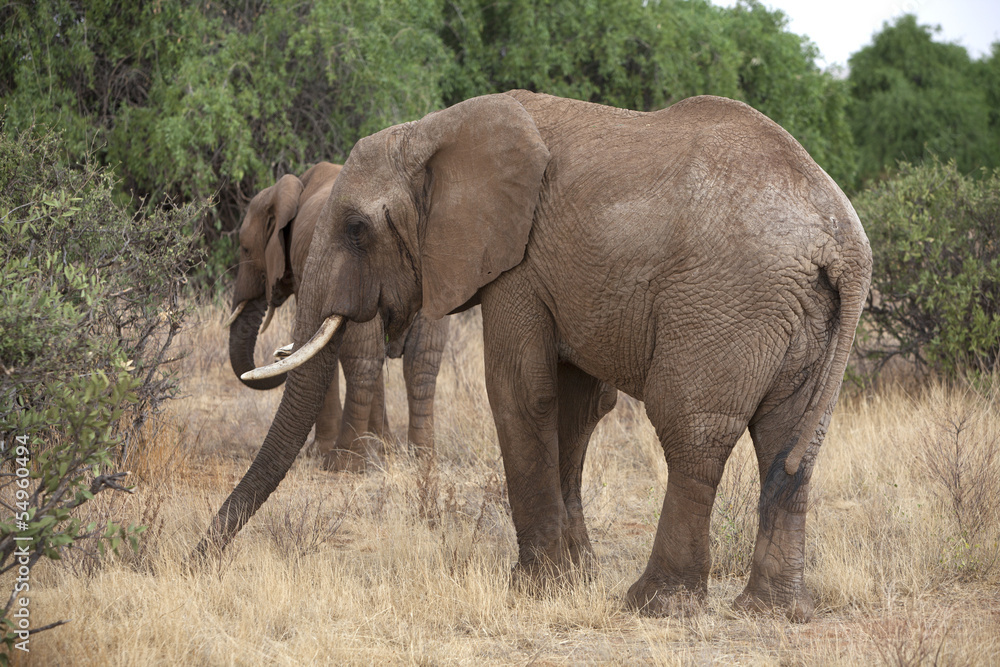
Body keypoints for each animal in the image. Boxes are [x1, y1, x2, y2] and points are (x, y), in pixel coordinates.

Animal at [224, 162, 450, 470]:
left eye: (246, 249)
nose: (277, 354)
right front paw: (382, 448)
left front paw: (319, 451)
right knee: (421, 360)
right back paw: (420, 459)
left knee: (364, 360)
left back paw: (345, 461)